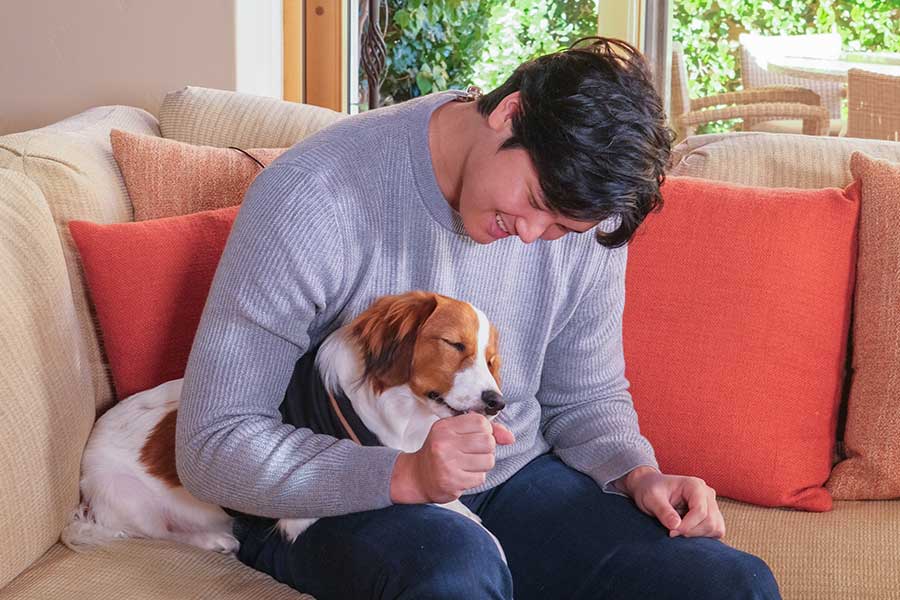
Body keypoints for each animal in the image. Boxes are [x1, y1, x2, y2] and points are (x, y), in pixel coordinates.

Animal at [65, 292, 506, 560]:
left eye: (489, 360)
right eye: (454, 345)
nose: (496, 403)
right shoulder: (308, 508)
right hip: (129, 497)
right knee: (157, 532)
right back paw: (212, 538)